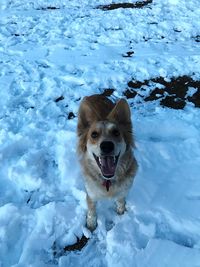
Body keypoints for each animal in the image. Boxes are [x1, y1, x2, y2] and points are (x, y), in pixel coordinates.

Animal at [76, 94, 138, 232]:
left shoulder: (125, 188)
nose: (107, 145)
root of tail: (95, 94)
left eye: (116, 132)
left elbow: (121, 200)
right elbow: (91, 210)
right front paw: (91, 223)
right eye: (94, 134)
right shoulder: (90, 193)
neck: (108, 181)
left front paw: (121, 210)